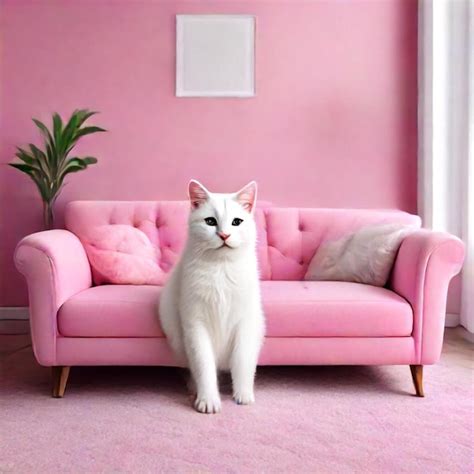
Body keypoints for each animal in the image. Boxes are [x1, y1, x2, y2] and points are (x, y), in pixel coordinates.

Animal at [158, 180, 262, 412]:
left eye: (236, 222)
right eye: (210, 221)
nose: (224, 235)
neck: (221, 268)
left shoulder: (246, 324)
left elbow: (242, 362)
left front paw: (243, 395)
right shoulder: (195, 325)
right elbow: (203, 366)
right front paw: (208, 401)